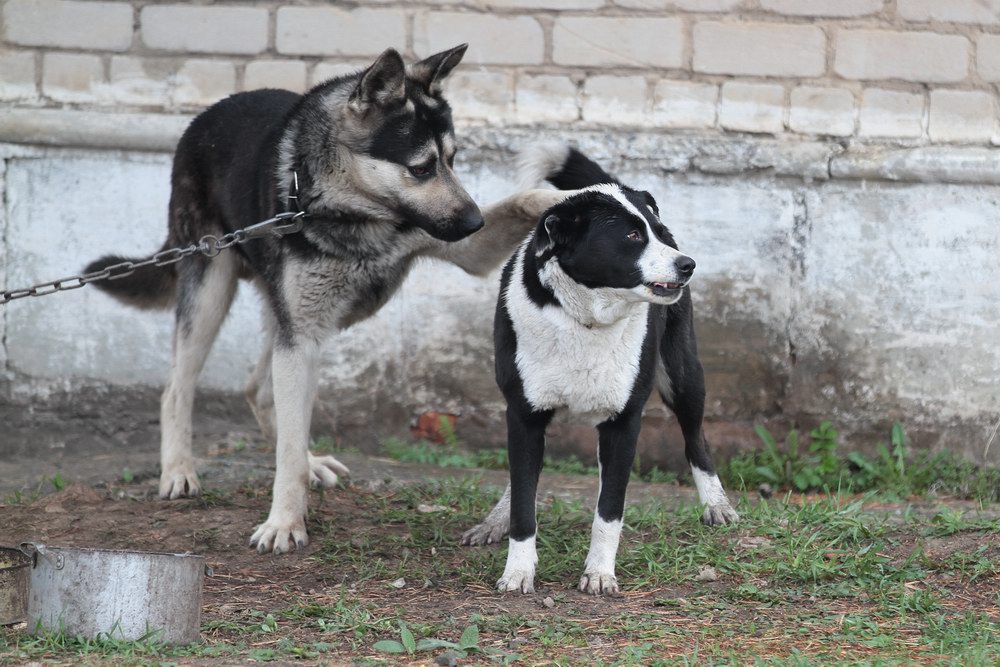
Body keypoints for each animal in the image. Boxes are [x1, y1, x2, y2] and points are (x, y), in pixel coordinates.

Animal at [90, 45, 576, 552]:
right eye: (421, 167)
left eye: (454, 159)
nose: (473, 220)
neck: (354, 211)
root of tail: (202, 118)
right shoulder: (300, 333)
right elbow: (285, 446)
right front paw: (284, 522)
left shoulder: (465, 250)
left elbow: (525, 199)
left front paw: (569, 199)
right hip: (215, 292)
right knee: (179, 387)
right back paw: (179, 470)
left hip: (297, 318)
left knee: (260, 390)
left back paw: (309, 460)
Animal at [464, 145, 740, 596]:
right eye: (631, 237)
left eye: (658, 232)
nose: (688, 264)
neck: (588, 317)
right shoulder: (524, 413)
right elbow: (524, 501)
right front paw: (518, 570)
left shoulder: (623, 421)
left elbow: (609, 510)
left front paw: (599, 572)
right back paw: (497, 517)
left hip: (683, 375)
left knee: (695, 437)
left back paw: (716, 503)